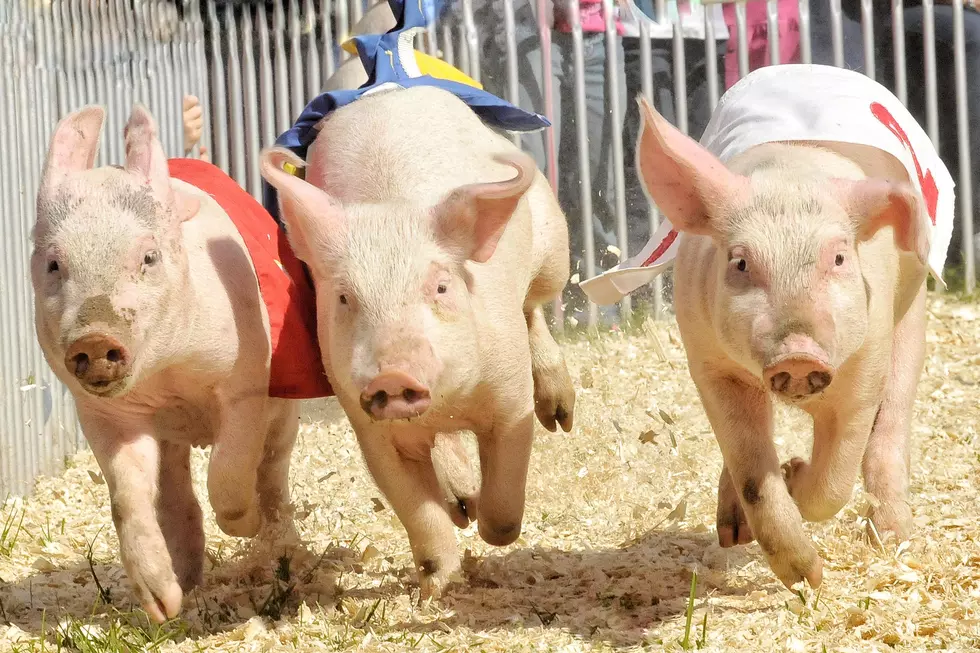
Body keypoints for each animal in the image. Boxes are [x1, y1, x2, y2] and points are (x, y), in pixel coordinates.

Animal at [28, 104, 334, 624]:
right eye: (54, 264)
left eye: (148, 256)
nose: (96, 338)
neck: (167, 375)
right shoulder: (104, 415)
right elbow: (127, 498)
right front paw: (161, 608)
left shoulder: (245, 383)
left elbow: (228, 476)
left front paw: (245, 524)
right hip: (170, 441)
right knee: (175, 493)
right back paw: (187, 582)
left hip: (284, 415)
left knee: (273, 471)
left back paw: (278, 546)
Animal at [260, 85, 576, 596]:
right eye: (344, 298)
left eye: (442, 287)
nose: (391, 373)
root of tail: (387, 87)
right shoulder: (370, 427)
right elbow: (416, 510)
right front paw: (440, 585)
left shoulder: (509, 398)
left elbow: (506, 506)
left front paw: (488, 531)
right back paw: (461, 504)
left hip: (553, 248)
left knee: (534, 305)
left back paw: (560, 418)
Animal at [580, 66, 952, 592]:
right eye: (739, 262)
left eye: (840, 258)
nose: (797, 354)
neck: (789, 176)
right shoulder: (709, 364)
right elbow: (753, 472)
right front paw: (805, 575)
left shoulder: (865, 363)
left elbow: (836, 476)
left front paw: (796, 478)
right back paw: (732, 532)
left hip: (910, 318)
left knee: (891, 425)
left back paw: (892, 539)